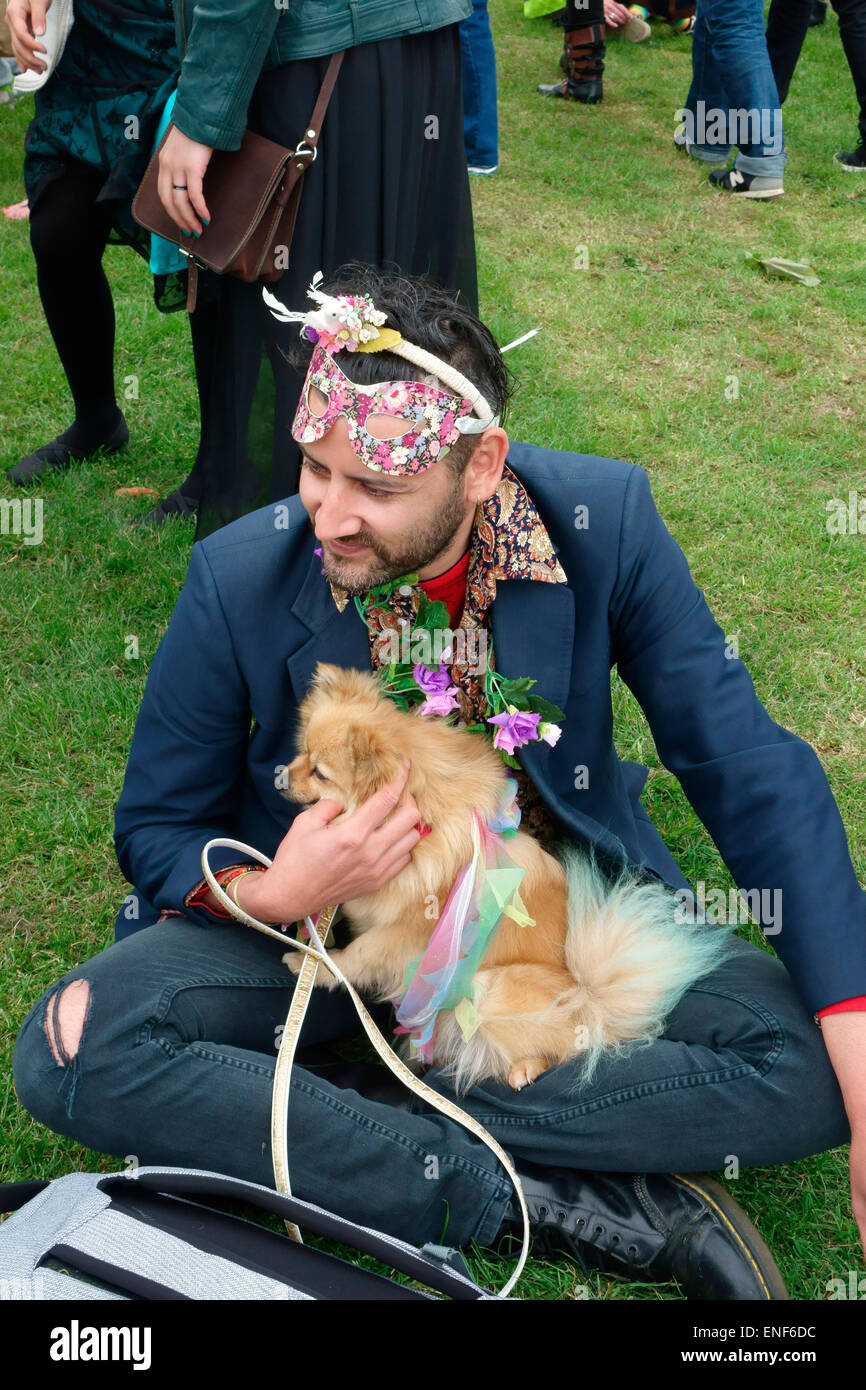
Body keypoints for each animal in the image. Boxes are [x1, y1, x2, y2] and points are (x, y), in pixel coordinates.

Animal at [284, 656, 733, 1089]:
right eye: (301, 752)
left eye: (320, 773)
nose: (282, 776)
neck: (423, 821)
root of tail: (590, 1000)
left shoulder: (404, 934)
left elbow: (357, 956)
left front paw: (312, 963)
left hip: (491, 990)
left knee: (572, 1048)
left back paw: (526, 1070)